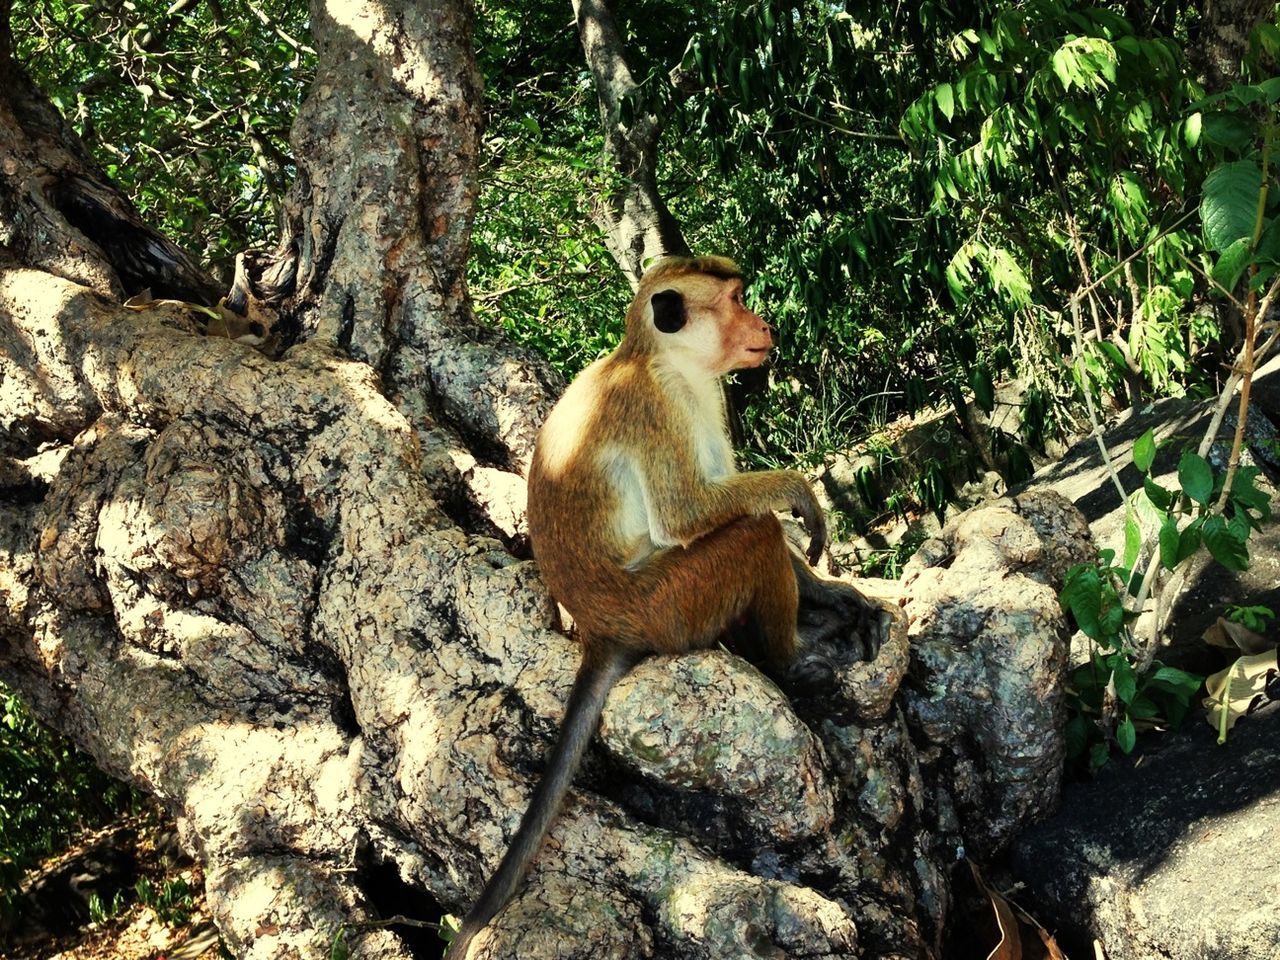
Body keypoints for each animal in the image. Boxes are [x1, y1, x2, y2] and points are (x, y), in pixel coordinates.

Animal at [442, 256, 870, 960]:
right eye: (735, 300)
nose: (764, 325)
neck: (661, 360)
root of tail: (599, 629)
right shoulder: (658, 406)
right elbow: (689, 515)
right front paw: (799, 492)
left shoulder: (706, 399)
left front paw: (831, 590)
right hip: (668, 606)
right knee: (752, 536)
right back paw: (791, 658)